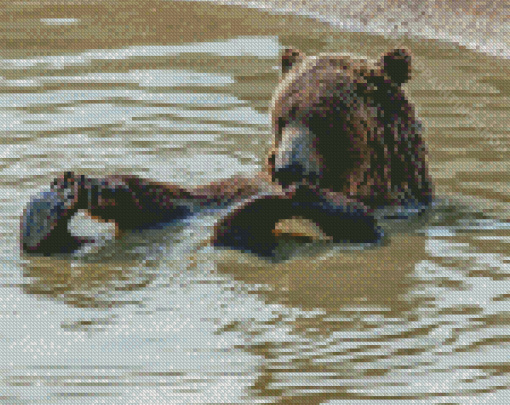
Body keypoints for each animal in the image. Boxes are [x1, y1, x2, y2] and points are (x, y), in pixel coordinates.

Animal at [19, 47, 430, 256]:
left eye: (323, 121)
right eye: (283, 118)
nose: (287, 169)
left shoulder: (401, 210)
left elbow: (362, 223)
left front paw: (273, 203)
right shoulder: (239, 185)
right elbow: (185, 201)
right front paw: (91, 185)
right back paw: (45, 219)